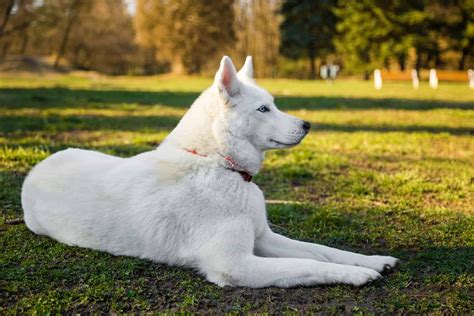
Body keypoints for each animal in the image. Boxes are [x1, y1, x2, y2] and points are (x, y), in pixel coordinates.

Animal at [22, 55, 400, 288]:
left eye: (274, 104)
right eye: (263, 109)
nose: (307, 125)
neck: (219, 164)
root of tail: (36, 169)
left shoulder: (264, 239)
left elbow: (321, 250)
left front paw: (370, 261)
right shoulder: (236, 264)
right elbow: (309, 265)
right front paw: (354, 275)